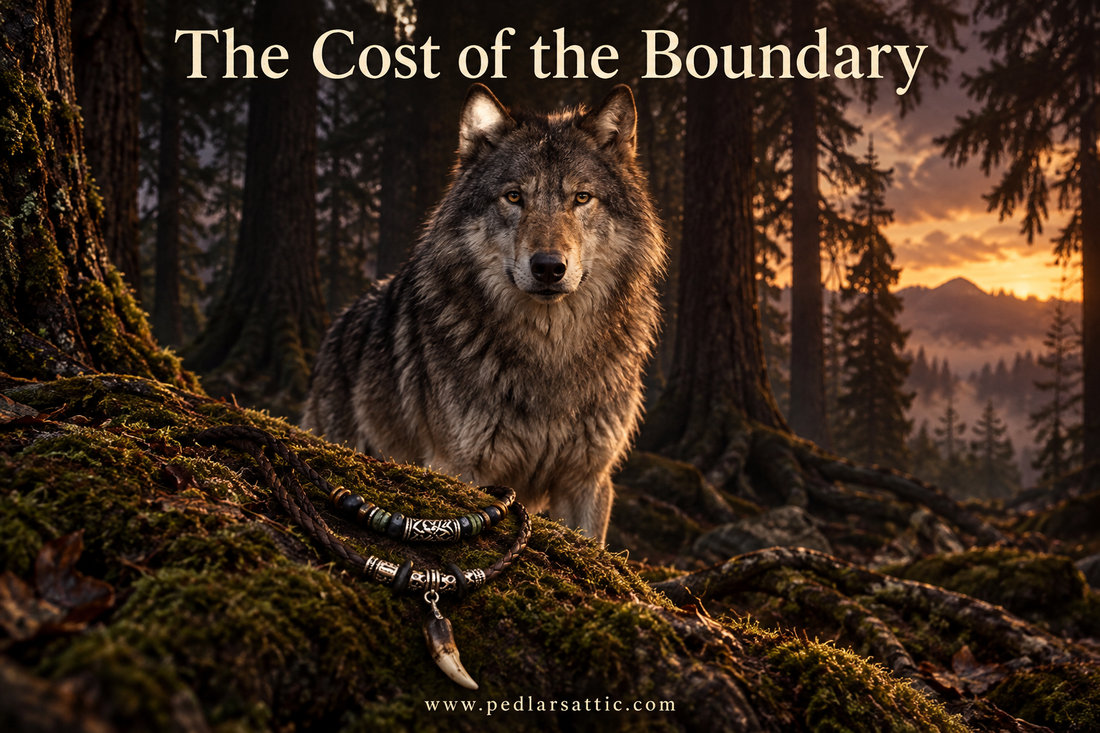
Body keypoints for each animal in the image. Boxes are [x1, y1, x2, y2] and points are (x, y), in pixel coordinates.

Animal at [301, 84, 665, 542]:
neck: (549, 353)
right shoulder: (460, 468)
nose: (549, 267)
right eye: (514, 196)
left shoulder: (587, 481)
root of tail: (340, 322)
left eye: (581, 198)